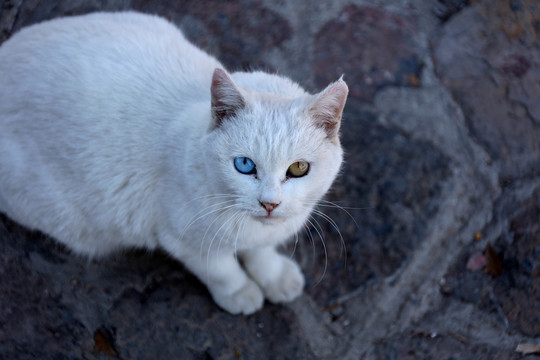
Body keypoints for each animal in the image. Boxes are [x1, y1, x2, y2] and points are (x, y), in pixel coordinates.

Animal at [0, 12, 348, 314]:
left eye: (298, 169)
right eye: (244, 165)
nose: (270, 204)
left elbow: (261, 252)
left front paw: (275, 277)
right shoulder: (182, 238)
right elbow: (221, 269)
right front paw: (240, 293)